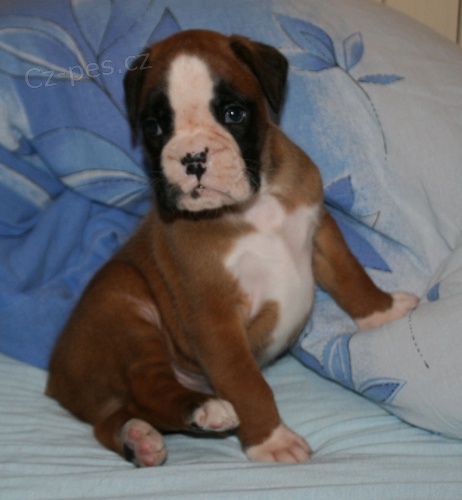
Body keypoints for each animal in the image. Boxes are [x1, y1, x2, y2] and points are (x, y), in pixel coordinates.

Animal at [46, 30, 418, 467]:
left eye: (234, 114)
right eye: (154, 126)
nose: (192, 157)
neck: (254, 206)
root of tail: (57, 380)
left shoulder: (320, 230)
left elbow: (349, 274)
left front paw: (382, 311)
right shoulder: (215, 318)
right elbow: (247, 384)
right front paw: (271, 440)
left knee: (114, 419)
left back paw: (138, 438)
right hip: (124, 306)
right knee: (149, 387)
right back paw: (203, 410)